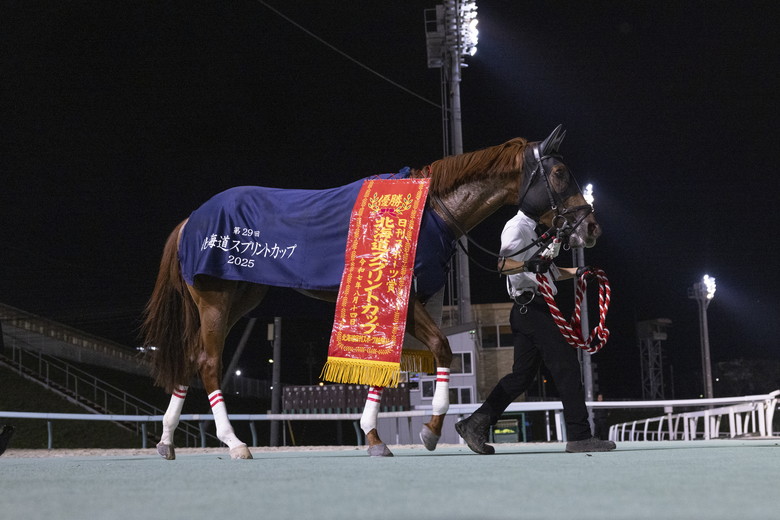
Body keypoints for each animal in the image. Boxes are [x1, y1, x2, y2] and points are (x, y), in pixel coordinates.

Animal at [141, 125, 601, 459]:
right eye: (559, 174)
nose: (590, 227)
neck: (431, 210)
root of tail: (191, 219)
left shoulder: (402, 302)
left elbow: (391, 365)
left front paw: (375, 437)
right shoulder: (407, 299)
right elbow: (441, 349)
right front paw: (431, 429)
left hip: (241, 297)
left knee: (191, 358)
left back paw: (166, 441)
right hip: (216, 300)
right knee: (208, 363)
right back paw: (235, 443)